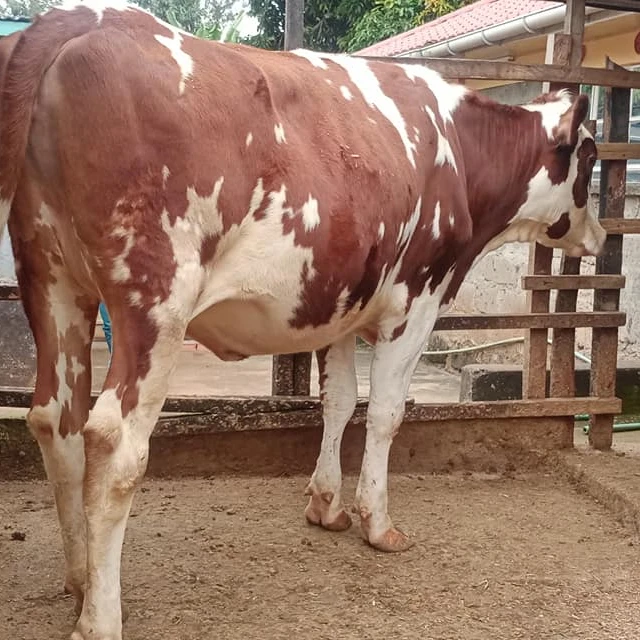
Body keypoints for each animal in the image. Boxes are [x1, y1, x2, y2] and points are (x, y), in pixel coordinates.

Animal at [0, 1, 605, 638]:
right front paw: (377, 524)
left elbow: (337, 402)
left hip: (52, 280)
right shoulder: (417, 298)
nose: (600, 237)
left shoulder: (337, 307)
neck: (461, 153)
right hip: (155, 297)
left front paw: (326, 505)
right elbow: (386, 414)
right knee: (114, 443)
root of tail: (79, 19)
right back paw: (101, 616)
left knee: (55, 420)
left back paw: (80, 580)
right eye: (591, 156)